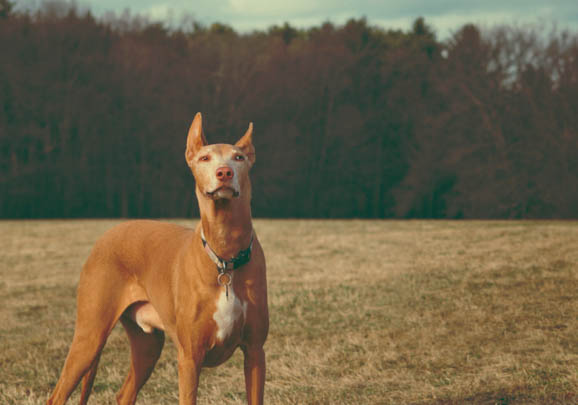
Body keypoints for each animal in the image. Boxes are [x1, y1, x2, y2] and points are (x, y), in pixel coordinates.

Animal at [47, 111, 268, 404]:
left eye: (239, 157)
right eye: (205, 158)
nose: (224, 173)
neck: (224, 257)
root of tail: (107, 235)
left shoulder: (255, 352)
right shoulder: (189, 358)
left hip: (147, 345)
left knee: (124, 393)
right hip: (90, 336)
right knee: (57, 395)